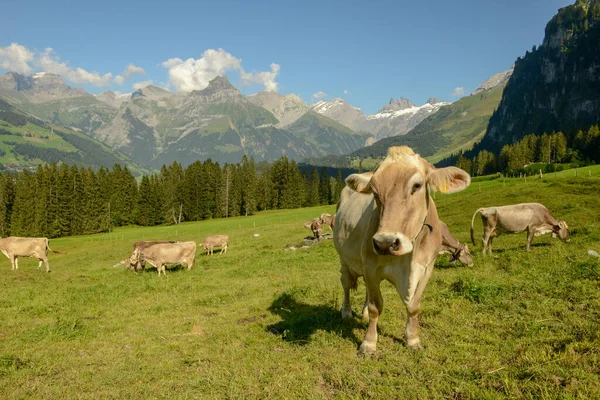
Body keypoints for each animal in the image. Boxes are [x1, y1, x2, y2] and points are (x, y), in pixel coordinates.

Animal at [336, 146, 472, 354]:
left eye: (417, 186)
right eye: (374, 191)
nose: (385, 242)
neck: (409, 256)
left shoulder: (426, 268)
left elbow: (414, 306)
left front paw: (413, 340)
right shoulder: (371, 266)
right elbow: (376, 307)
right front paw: (369, 344)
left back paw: (363, 313)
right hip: (344, 259)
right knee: (345, 284)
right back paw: (346, 312)